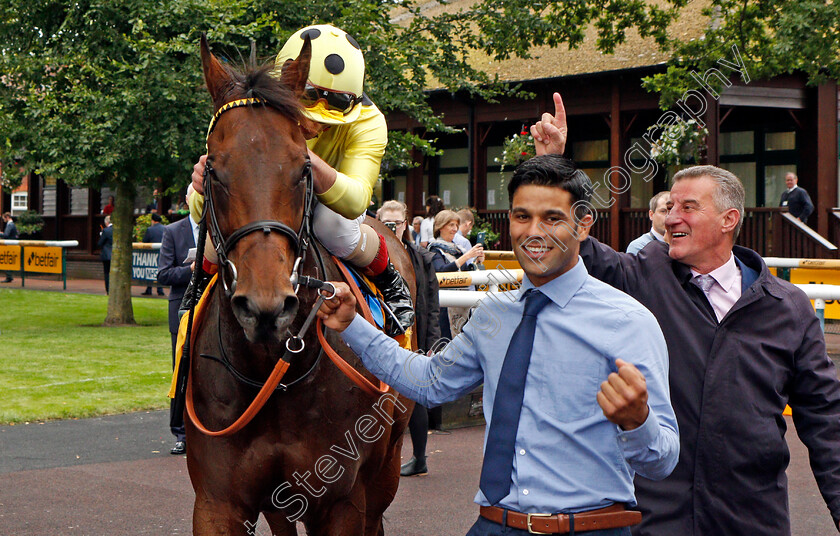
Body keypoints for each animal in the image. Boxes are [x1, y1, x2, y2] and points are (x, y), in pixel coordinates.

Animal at [186, 35, 416, 532]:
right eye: (213, 170)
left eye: (301, 167)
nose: (266, 308)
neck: (274, 373)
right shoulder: (216, 501)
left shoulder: (342, 500)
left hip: (384, 467)